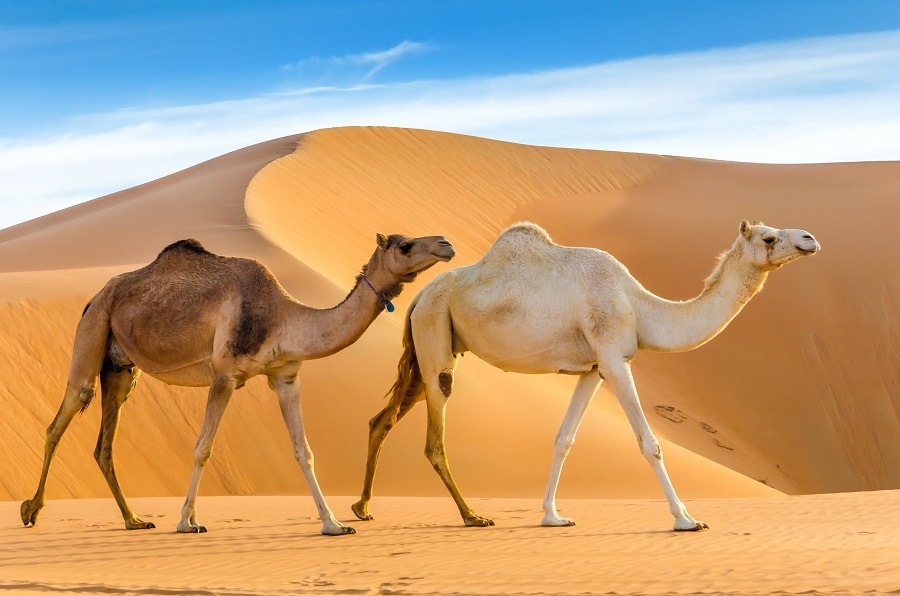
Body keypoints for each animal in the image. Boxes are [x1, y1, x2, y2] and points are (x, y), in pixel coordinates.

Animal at [19, 233, 458, 536]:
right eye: (405, 245)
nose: (446, 244)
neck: (284, 317)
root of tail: (93, 297)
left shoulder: (285, 376)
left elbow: (304, 452)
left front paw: (334, 524)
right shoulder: (224, 374)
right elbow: (203, 448)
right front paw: (187, 521)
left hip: (121, 369)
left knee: (104, 445)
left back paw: (133, 520)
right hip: (92, 331)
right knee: (61, 417)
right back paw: (31, 510)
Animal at [352, 221, 824, 532]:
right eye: (768, 237)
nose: (810, 239)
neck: (639, 307)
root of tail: (417, 299)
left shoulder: (594, 369)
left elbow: (565, 438)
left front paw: (552, 515)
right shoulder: (615, 358)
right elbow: (649, 443)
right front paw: (686, 518)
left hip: (426, 351)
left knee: (381, 419)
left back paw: (362, 508)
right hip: (435, 340)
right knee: (434, 438)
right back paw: (472, 516)